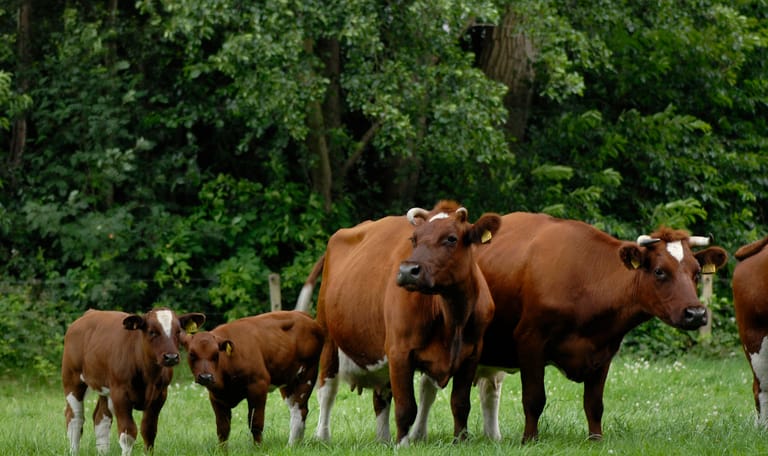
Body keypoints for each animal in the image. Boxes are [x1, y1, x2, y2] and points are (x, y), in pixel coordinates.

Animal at [62, 308, 206, 455]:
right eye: (152, 331)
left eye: (178, 331)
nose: (171, 357)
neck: (149, 375)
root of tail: (90, 313)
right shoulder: (120, 394)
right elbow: (128, 434)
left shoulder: (160, 395)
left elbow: (149, 431)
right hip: (72, 379)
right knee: (75, 419)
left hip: (104, 387)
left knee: (101, 419)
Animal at [182, 310, 324, 446]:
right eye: (191, 354)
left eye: (216, 354)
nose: (205, 377)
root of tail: (304, 315)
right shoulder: (216, 396)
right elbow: (222, 429)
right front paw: (222, 451)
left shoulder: (258, 386)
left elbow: (255, 423)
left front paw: (258, 449)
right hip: (288, 380)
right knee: (295, 408)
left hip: (307, 374)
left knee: (299, 410)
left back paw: (291, 445)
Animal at [297, 200, 501, 446]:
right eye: (414, 239)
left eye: (451, 238)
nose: (407, 271)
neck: (453, 317)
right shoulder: (399, 351)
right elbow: (406, 406)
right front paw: (402, 444)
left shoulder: (471, 354)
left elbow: (460, 403)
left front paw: (460, 440)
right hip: (328, 338)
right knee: (327, 391)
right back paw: (323, 436)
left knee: (381, 396)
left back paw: (382, 439)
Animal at [454, 213, 728, 443]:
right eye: (660, 271)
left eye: (696, 273)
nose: (696, 313)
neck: (585, 281)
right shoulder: (530, 341)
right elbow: (534, 398)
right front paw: (529, 440)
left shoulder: (604, 349)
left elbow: (594, 404)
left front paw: (596, 439)